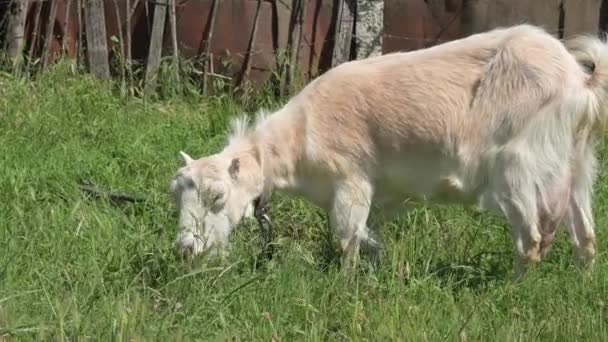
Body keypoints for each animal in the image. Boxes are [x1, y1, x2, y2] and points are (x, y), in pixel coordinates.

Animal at [170, 24, 608, 280]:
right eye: (177, 197)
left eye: (218, 197)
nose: (186, 251)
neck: (297, 136)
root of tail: (578, 80)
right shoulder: (379, 196)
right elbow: (369, 237)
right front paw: (376, 270)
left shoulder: (351, 182)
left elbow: (346, 238)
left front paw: (342, 284)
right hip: (578, 163)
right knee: (585, 235)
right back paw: (582, 284)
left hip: (519, 169)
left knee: (532, 239)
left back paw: (511, 290)